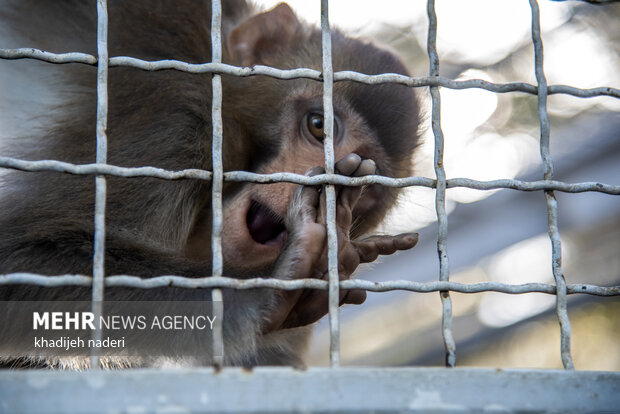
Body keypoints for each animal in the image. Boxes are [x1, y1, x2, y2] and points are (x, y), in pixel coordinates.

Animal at [0, 0, 422, 368]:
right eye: (319, 125)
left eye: (366, 180)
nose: (323, 182)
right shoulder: (175, 126)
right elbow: (18, 253)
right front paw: (268, 289)